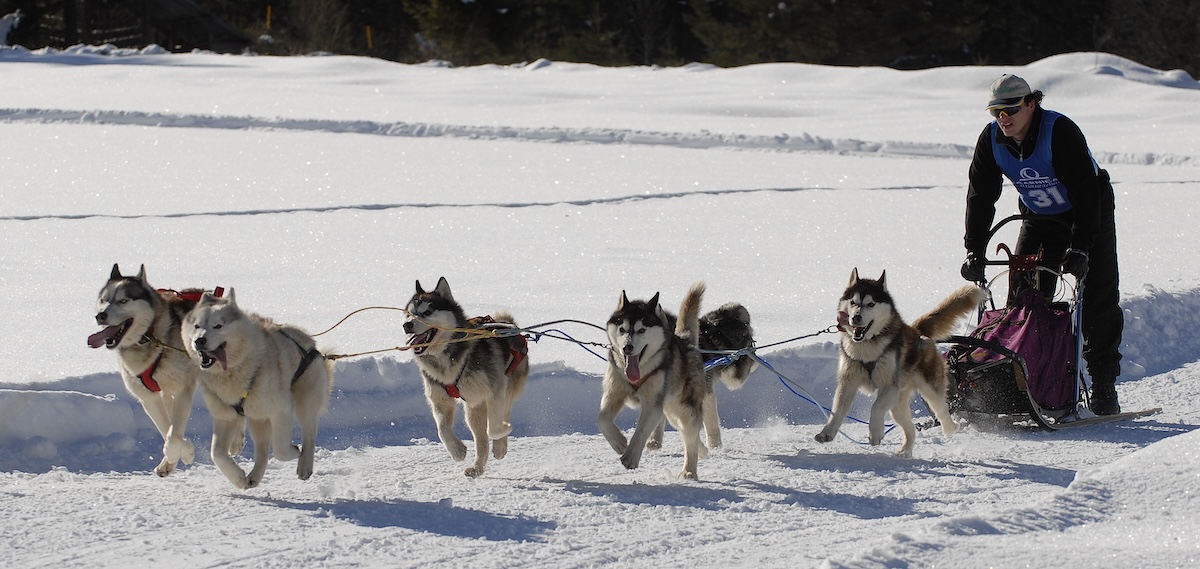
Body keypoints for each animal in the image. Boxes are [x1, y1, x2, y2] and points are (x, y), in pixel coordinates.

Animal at [91, 264, 208, 477]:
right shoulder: (149, 398)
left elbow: (173, 436)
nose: (100, 315)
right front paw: (177, 456)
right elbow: (168, 429)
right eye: (103, 300)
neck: (150, 338)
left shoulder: (182, 390)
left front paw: (179, 454)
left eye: (123, 300)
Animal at [178, 289, 328, 489]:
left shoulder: (281, 410)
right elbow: (216, 453)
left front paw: (295, 451)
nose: (199, 340)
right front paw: (238, 477)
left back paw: (304, 464)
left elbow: (280, 449)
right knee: (261, 451)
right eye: (197, 326)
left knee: (309, 435)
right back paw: (252, 472)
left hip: (304, 402)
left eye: (218, 326)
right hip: (257, 419)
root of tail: (311, 342)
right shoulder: (224, 415)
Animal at [403, 277, 530, 477]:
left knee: (502, 415)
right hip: (473, 408)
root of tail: (507, 324)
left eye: (427, 312)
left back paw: (499, 446)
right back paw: (477, 467)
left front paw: (503, 435)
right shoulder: (439, 400)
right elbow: (442, 429)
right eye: (409, 314)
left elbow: (494, 428)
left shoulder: (496, 390)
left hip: (505, 389)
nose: (406, 325)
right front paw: (457, 450)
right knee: (481, 441)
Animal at [600, 282, 720, 477]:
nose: (627, 347)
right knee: (687, 433)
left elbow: (641, 431)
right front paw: (619, 442)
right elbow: (602, 419)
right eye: (622, 329)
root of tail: (687, 342)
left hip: (685, 408)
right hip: (671, 410)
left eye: (641, 330)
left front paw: (631, 456)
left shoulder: (653, 405)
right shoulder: (613, 393)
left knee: (690, 437)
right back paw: (702, 450)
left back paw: (689, 471)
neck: (641, 370)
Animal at [820, 267, 988, 458]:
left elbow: (875, 407)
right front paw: (827, 432)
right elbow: (837, 410)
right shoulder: (848, 382)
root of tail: (916, 330)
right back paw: (906, 450)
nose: (855, 318)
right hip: (897, 406)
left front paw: (875, 432)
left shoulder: (889, 386)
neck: (867, 347)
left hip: (929, 393)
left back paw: (951, 428)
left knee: (943, 412)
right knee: (910, 428)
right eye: (853, 302)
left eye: (871, 304)